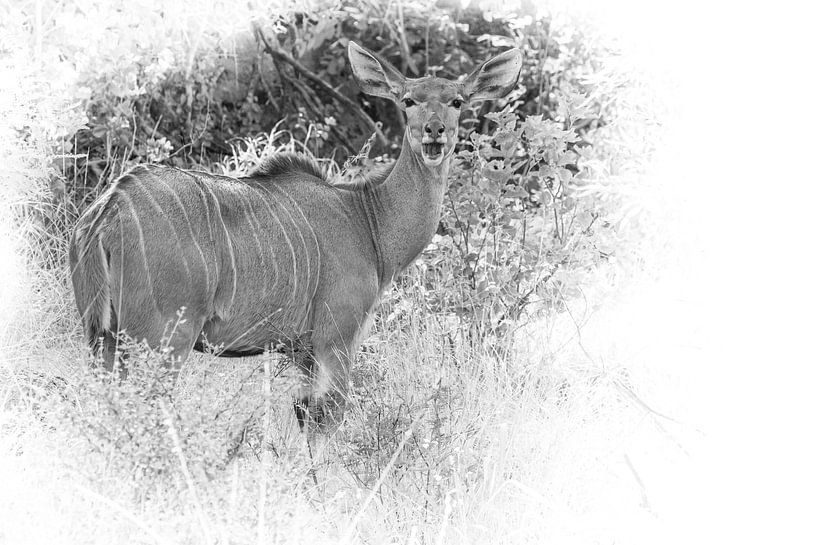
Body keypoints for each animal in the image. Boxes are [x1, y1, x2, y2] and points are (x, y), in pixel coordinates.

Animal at [67, 41, 520, 424]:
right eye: (408, 101)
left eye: (457, 101)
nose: (434, 132)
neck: (368, 219)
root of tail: (110, 210)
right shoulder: (337, 333)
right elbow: (327, 417)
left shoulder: (301, 348)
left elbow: (302, 414)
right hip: (162, 335)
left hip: (103, 335)